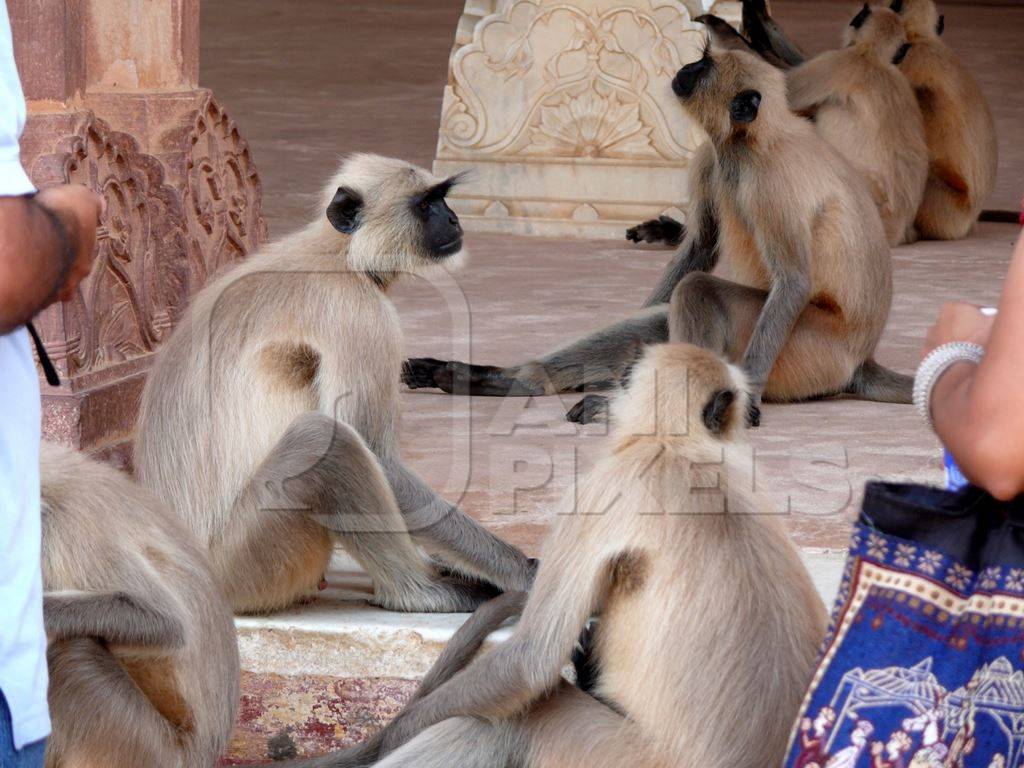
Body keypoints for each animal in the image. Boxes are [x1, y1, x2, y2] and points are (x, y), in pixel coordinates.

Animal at [134, 153, 536, 618]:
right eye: (426, 205)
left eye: (442, 199)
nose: (453, 219)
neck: (342, 254)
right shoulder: (358, 312)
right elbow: (378, 455)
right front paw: (522, 571)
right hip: (237, 566)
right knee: (327, 444)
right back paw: (419, 593)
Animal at [403, 44, 909, 428]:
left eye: (703, 67)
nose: (685, 69)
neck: (746, 144)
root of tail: (859, 359)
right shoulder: (710, 157)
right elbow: (700, 247)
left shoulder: (771, 181)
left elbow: (793, 280)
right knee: (663, 314)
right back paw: (516, 380)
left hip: (811, 350)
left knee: (698, 292)